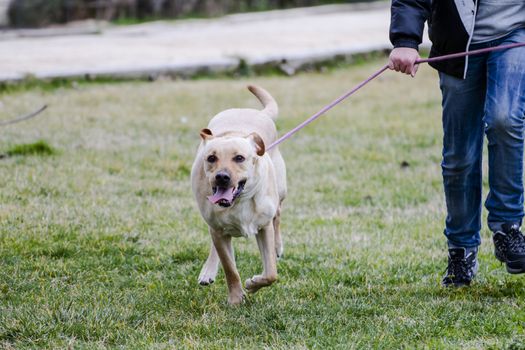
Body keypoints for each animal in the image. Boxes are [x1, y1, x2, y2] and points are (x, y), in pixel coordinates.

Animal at [189, 86, 284, 304]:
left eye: (239, 158)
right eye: (211, 158)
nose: (222, 177)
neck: (239, 201)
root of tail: (259, 113)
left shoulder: (264, 227)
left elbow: (271, 273)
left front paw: (253, 284)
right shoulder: (218, 230)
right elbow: (230, 269)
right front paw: (235, 298)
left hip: (281, 189)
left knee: (278, 214)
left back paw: (278, 247)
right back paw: (208, 271)